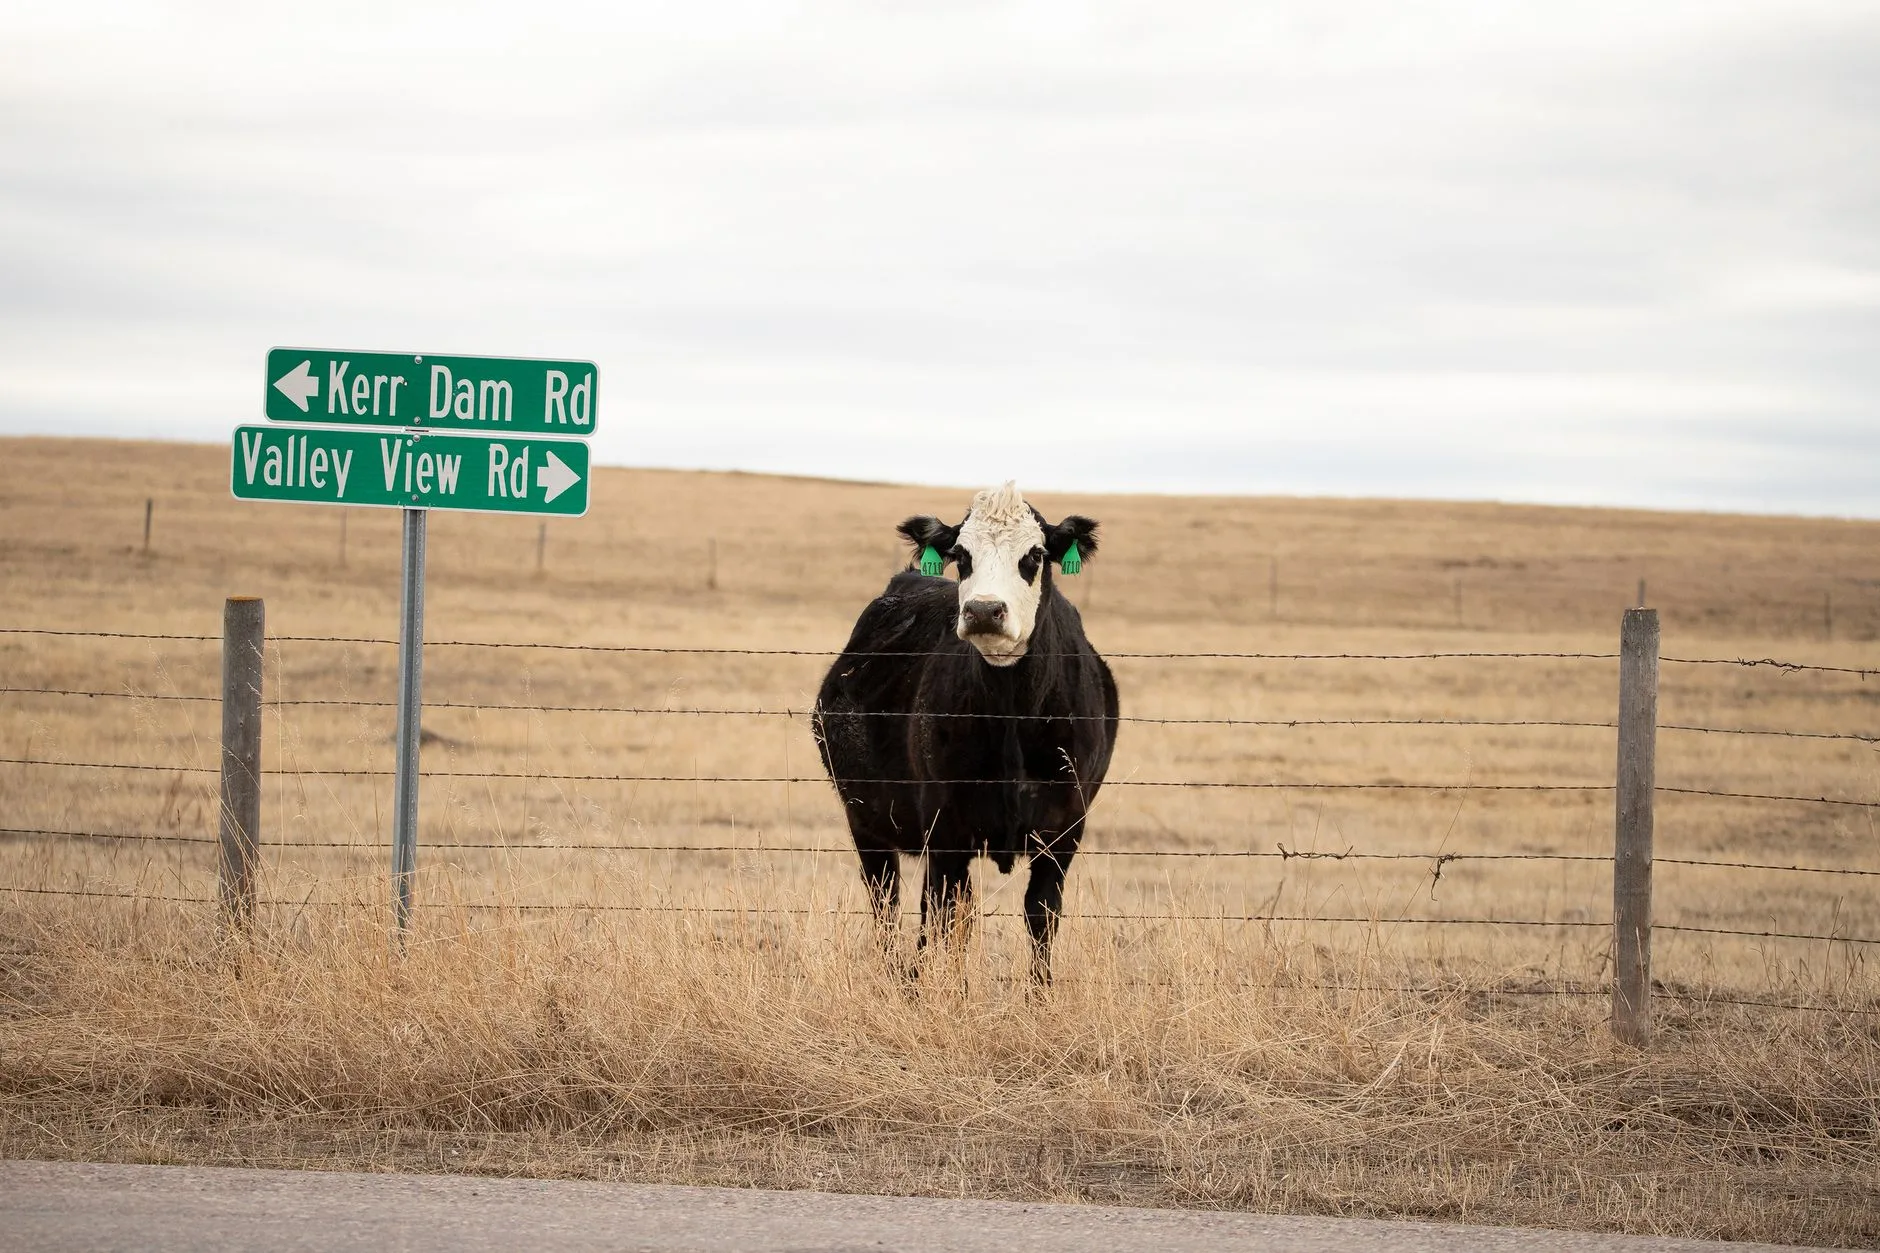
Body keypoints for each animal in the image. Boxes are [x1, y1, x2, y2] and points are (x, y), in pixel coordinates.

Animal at [812, 482, 1119, 983]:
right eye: (960, 554)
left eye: (1035, 554)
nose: (983, 610)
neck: (1013, 719)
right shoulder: (945, 828)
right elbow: (937, 915)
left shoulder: (1063, 830)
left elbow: (1041, 915)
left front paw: (1039, 994)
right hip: (866, 823)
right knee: (889, 902)